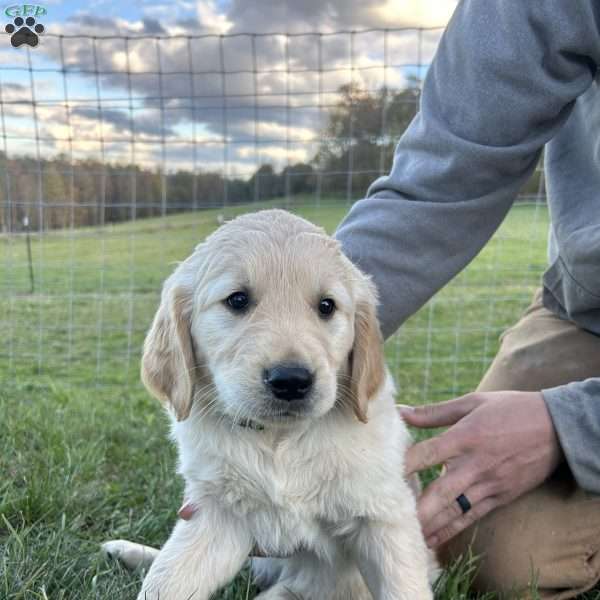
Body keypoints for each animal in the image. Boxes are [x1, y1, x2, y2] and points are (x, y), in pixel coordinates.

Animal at [104, 211, 436, 600]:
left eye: (327, 306)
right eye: (237, 300)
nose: (291, 380)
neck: (279, 439)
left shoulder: (383, 517)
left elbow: (403, 586)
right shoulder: (216, 514)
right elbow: (168, 579)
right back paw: (126, 551)